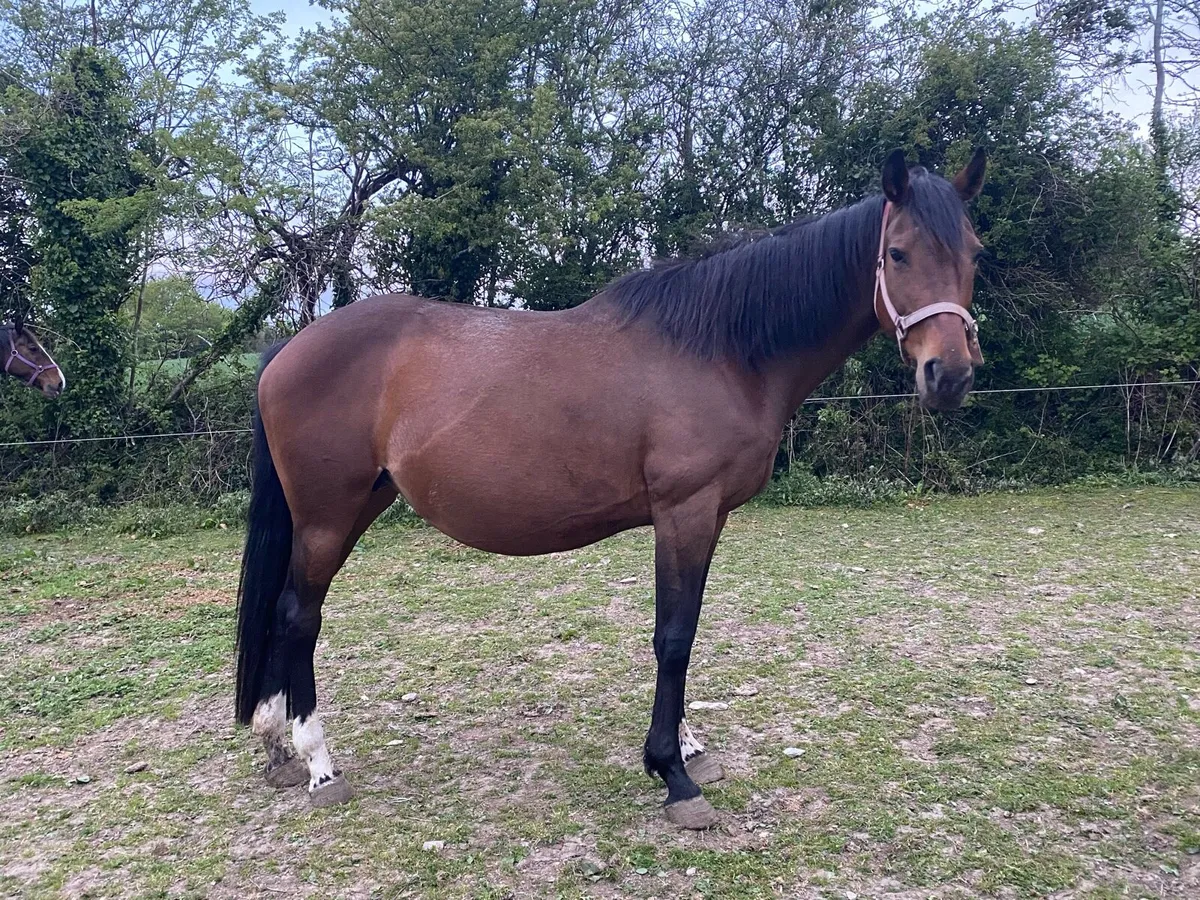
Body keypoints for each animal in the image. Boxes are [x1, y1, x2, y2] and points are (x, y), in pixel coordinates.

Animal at [234, 149, 989, 829]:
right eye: (897, 253)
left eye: (973, 253)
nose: (948, 375)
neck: (720, 349)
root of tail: (286, 350)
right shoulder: (685, 511)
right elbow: (674, 635)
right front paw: (675, 775)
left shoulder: (708, 517)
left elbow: (686, 627)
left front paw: (688, 746)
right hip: (328, 515)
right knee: (300, 616)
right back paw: (319, 763)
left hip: (357, 505)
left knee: (284, 609)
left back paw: (277, 745)